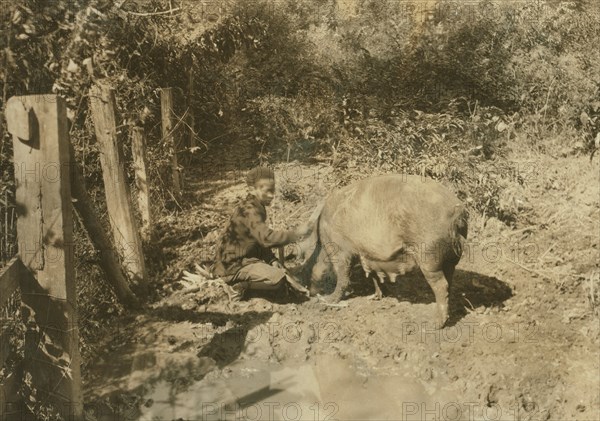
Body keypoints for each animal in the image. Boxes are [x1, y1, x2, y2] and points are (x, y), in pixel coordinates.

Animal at [296, 172, 468, 326]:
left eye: (307, 269)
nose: (309, 293)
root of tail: (457, 209)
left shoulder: (340, 248)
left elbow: (343, 276)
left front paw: (328, 300)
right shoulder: (368, 254)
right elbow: (372, 274)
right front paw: (377, 296)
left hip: (429, 253)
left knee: (441, 285)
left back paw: (435, 324)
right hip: (452, 256)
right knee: (449, 280)